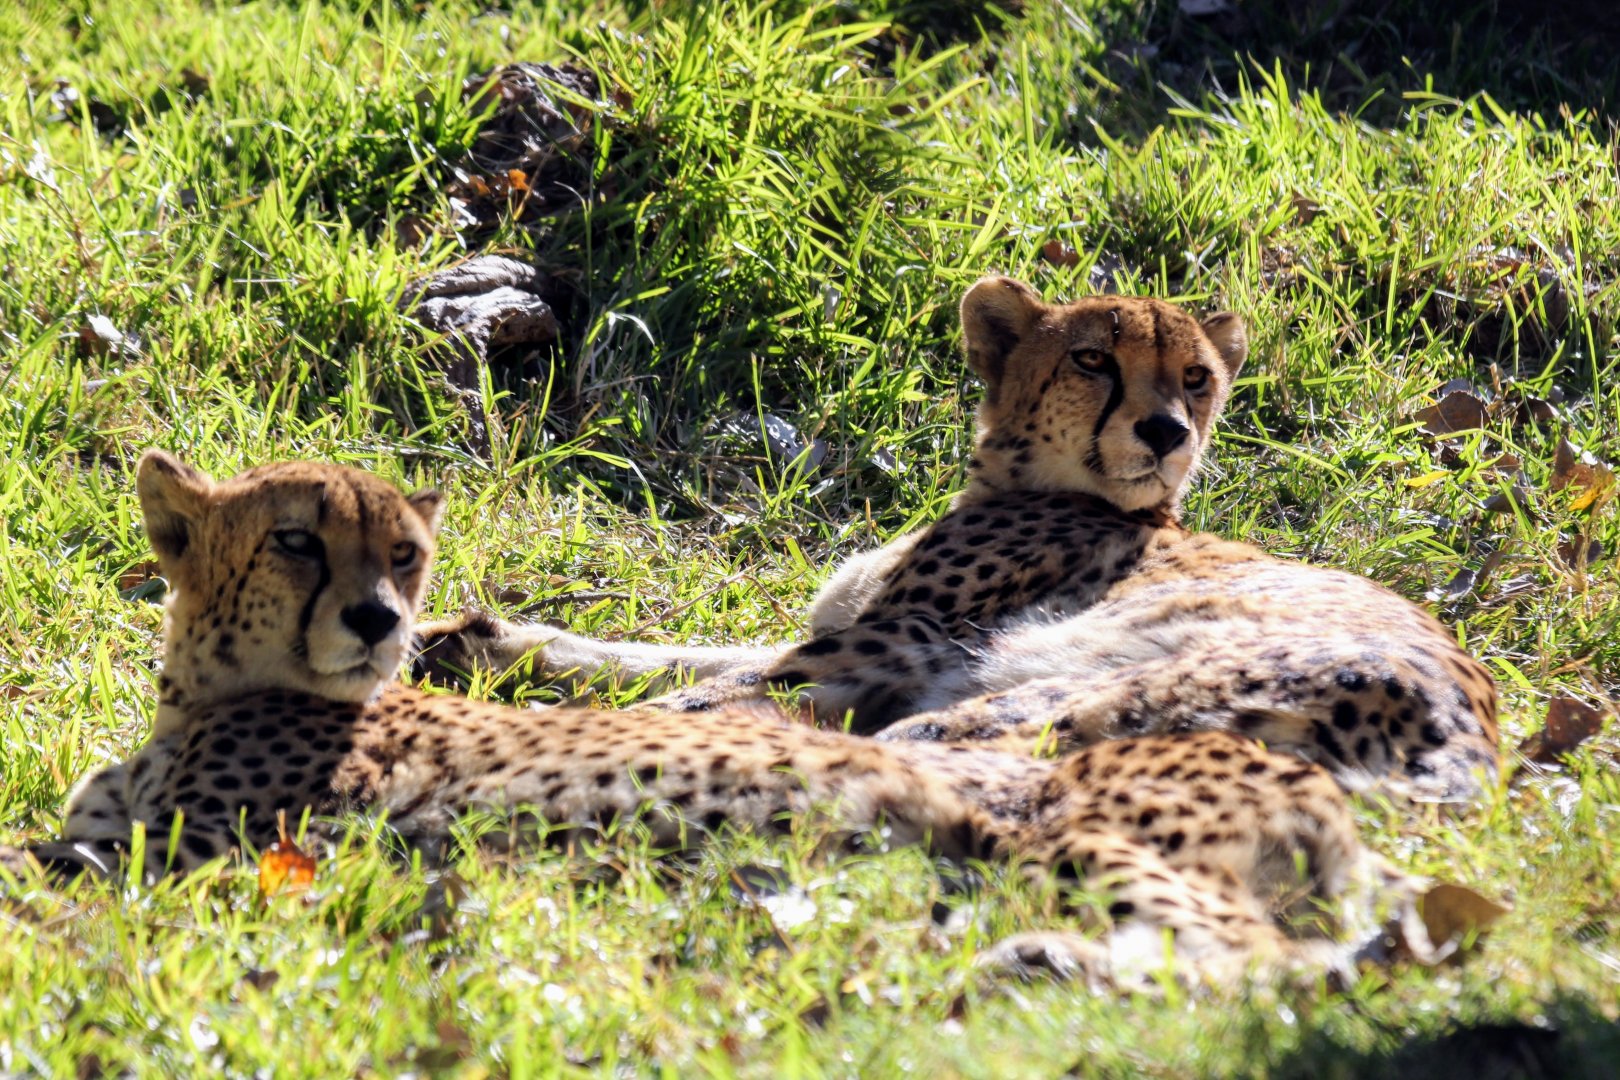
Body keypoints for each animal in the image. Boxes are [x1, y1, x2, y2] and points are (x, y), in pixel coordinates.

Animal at [2, 450, 1436, 987]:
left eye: (402, 552)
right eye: (298, 540)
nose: (379, 619)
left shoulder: (201, 844)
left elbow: (48, 851)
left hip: (1047, 812)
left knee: (1271, 956)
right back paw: (1033, 962)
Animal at [414, 276, 1500, 802]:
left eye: (1195, 377)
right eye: (1095, 360)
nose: (1166, 432)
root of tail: (1473, 745)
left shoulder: (907, 637)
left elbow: (706, 681)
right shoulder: (866, 630)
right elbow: (678, 653)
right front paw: (480, 640)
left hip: (1077, 692)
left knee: (917, 750)